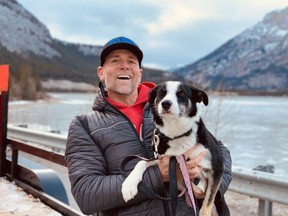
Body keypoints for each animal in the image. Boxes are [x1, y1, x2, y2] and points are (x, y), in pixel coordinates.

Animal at [121, 81, 230, 216]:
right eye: (162, 93)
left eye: (181, 93)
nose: (166, 103)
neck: (177, 133)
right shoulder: (163, 158)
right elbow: (141, 162)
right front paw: (128, 185)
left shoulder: (217, 167)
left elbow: (207, 202)